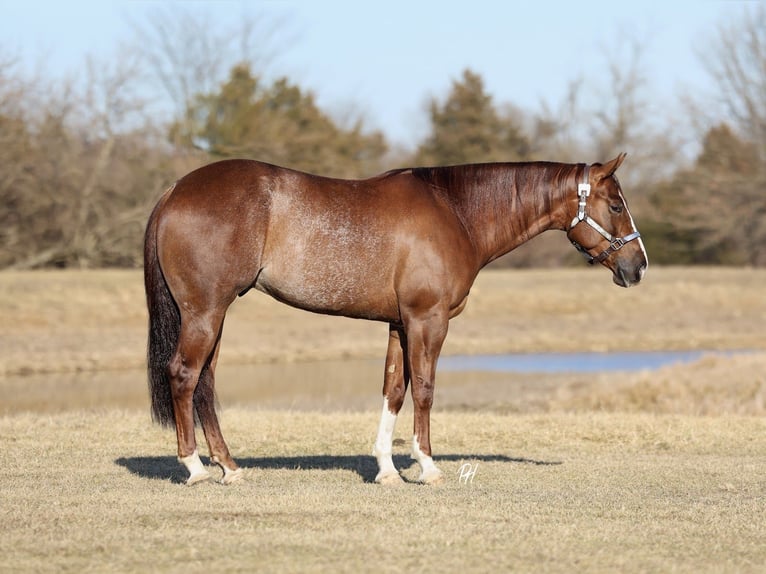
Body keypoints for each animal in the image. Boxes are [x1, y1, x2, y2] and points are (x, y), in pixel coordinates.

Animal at [144, 153, 647, 486]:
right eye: (616, 205)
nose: (637, 267)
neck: (457, 213)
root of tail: (174, 190)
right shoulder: (428, 320)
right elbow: (423, 388)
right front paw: (427, 466)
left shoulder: (399, 324)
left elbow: (393, 389)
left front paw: (386, 468)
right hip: (205, 312)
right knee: (185, 375)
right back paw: (194, 468)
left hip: (215, 315)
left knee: (206, 382)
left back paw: (228, 467)